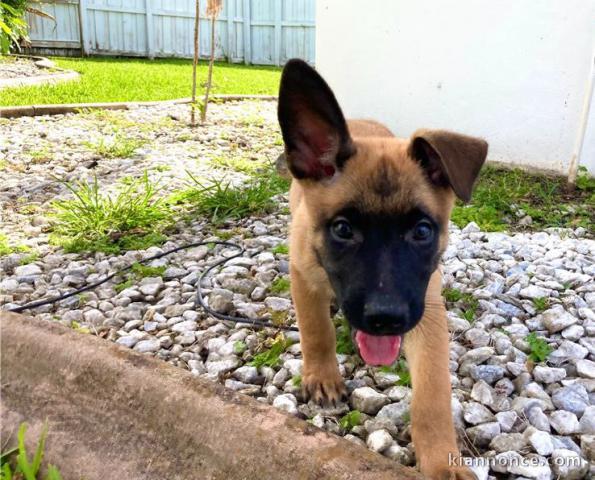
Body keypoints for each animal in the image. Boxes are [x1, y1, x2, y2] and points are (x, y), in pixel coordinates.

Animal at [280, 60, 488, 480]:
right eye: (343, 230)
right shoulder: (303, 275)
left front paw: (441, 460)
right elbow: (316, 330)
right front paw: (323, 376)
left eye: (422, 231)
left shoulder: (427, 309)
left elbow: (433, 395)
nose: (385, 318)